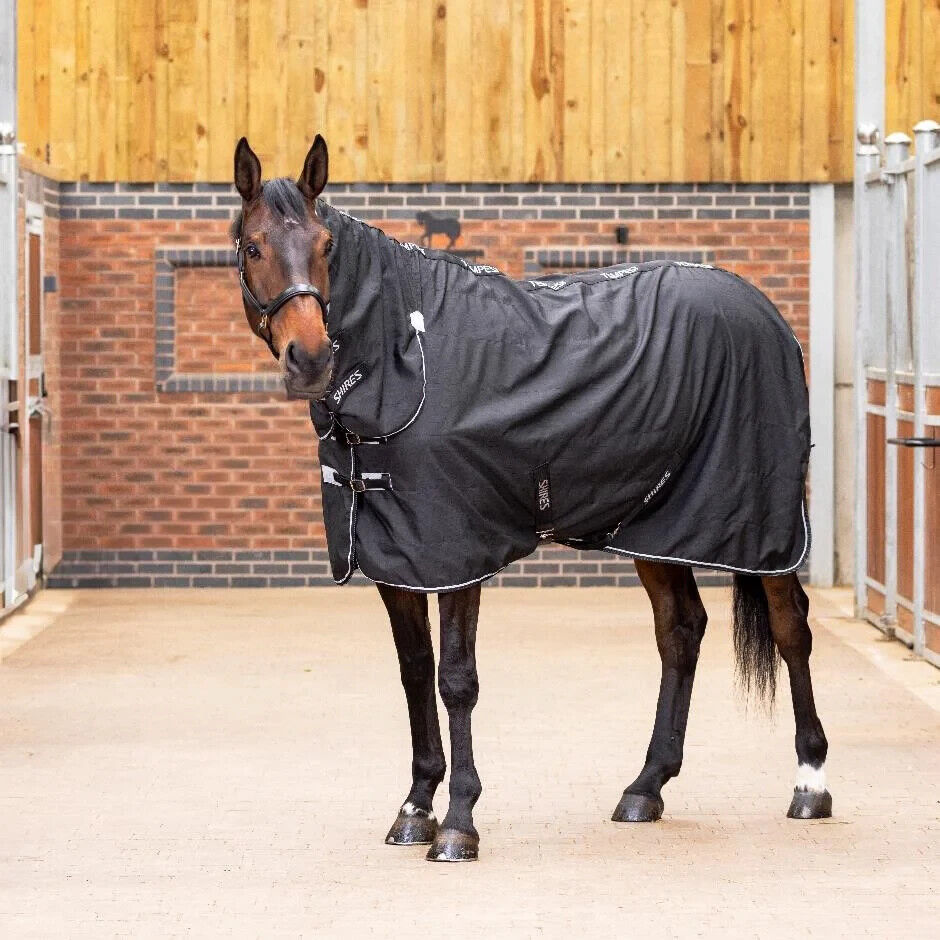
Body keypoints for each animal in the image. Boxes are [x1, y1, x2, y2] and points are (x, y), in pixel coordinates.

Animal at [229, 135, 832, 863]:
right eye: (254, 246)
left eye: (323, 245)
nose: (310, 356)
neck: (407, 350)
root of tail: (768, 315)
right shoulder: (396, 557)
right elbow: (414, 672)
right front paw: (415, 807)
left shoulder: (457, 551)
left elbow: (456, 680)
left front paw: (458, 824)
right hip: (657, 525)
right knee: (681, 631)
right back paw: (645, 789)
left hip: (765, 522)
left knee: (790, 628)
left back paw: (810, 784)